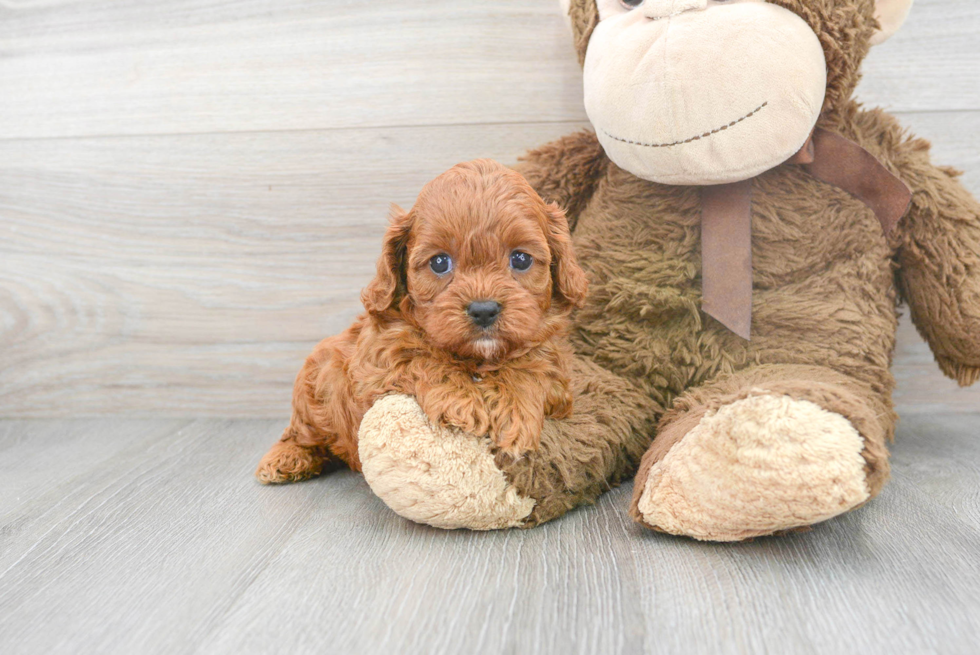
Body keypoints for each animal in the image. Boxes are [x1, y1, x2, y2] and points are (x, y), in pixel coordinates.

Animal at [256, 161, 584, 484]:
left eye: (521, 259)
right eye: (439, 263)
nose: (484, 310)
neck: (476, 358)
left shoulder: (556, 367)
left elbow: (532, 366)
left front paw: (513, 410)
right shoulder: (377, 357)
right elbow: (421, 357)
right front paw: (462, 399)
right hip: (315, 384)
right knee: (302, 432)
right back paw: (287, 458)